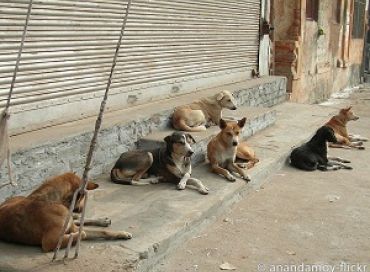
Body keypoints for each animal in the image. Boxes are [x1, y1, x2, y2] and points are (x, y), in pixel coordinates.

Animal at [0, 173, 132, 252]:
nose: (81, 209)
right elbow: (83, 233)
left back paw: (102, 220)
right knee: (78, 221)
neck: (53, 200)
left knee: (77, 219)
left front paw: (121, 233)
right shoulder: (49, 242)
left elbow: (101, 232)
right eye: (82, 196)